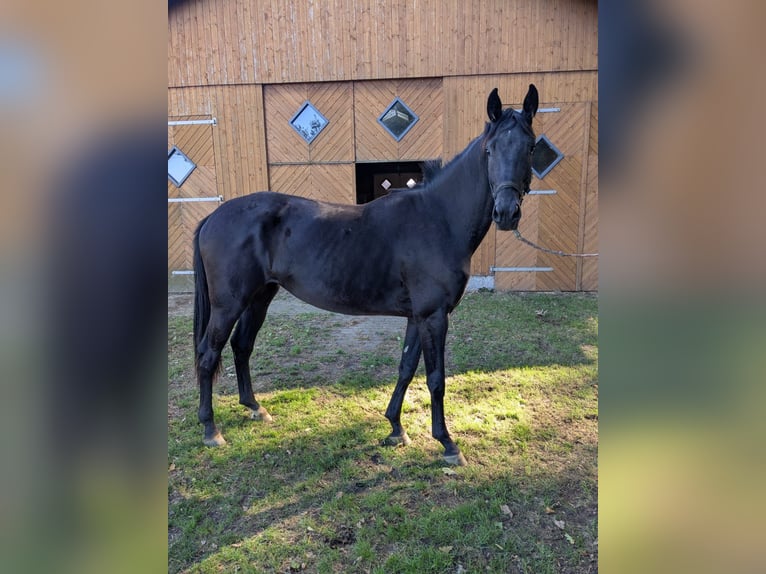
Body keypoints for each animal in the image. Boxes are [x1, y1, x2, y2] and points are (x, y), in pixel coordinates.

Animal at [193, 85, 539, 465]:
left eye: (531, 146)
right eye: (490, 150)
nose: (506, 213)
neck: (438, 219)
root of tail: (212, 217)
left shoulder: (418, 316)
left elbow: (406, 368)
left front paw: (396, 428)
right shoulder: (434, 316)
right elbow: (436, 378)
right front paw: (448, 444)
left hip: (259, 297)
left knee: (242, 346)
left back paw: (255, 408)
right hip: (229, 304)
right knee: (208, 354)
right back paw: (210, 430)